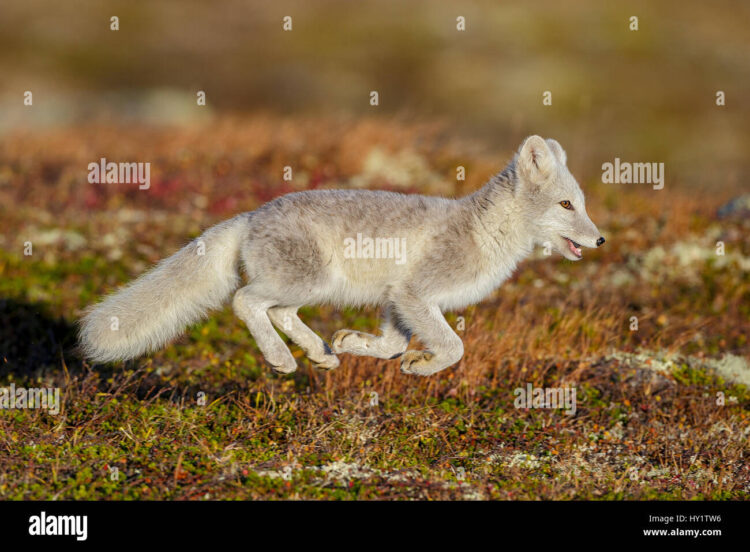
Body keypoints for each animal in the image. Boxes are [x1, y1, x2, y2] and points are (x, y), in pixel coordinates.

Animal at [79, 135, 605, 376]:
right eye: (566, 205)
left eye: (583, 203)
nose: (600, 241)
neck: (485, 230)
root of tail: (250, 214)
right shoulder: (415, 293)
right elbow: (454, 347)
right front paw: (424, 365)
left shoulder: (396, 299)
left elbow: (391, 345)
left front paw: (355, 343)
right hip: (305, 281)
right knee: (246, 303)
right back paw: (281, 359)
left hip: (311, 286)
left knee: (280, 313)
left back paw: (321, 352)